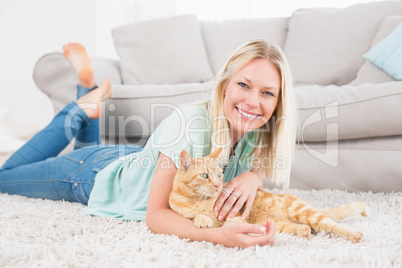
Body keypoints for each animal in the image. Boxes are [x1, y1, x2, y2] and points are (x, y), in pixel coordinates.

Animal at [168, 149, 370, 243]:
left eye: (219, 175)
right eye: (204, 176)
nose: (218, 185)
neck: (199, 201)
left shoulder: (233, 211)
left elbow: (230, 220)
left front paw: (229, 221)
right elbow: (194, 216)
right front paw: (202, 219)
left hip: (303, 212)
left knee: (330, 224)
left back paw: (353, 234)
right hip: (281, 224)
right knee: (300, 226)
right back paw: (303, 231)